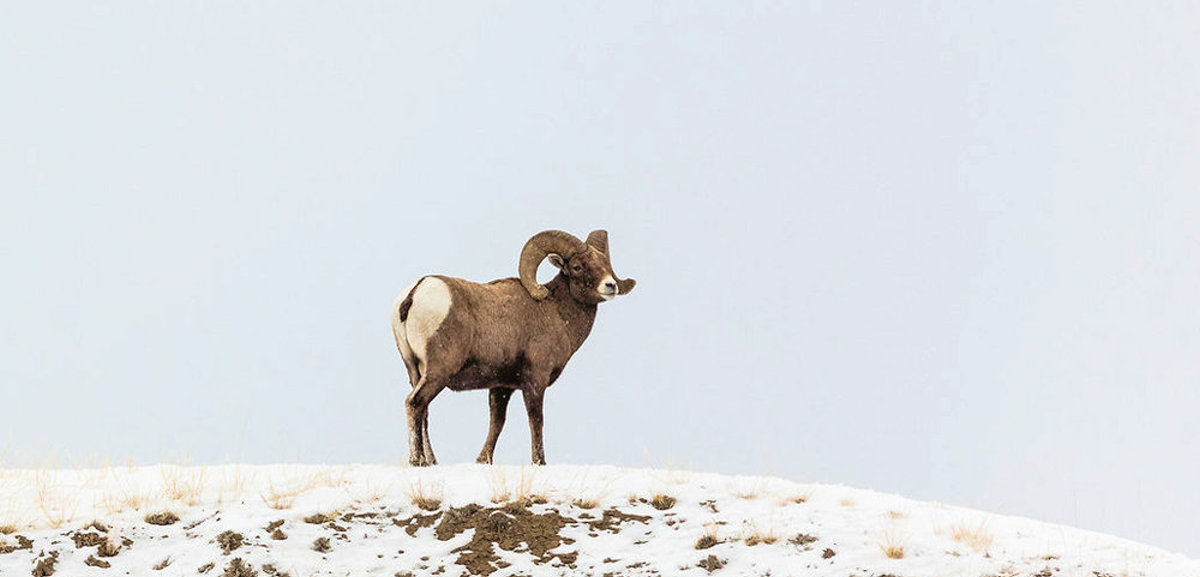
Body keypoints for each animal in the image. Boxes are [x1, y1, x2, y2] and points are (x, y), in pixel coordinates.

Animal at [391, 229, 636, 466]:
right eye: (577, 266)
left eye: (605, 264)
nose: (610, 286)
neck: (555, 311)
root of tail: (414, 294)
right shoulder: (535, 380)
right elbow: (536, 419)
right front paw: (539, 462)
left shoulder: (501, 386)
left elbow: (497, 422)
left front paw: (483, 460)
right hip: (438, 371)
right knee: (415, 403)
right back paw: (417, 461)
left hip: (415, 371)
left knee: (423, 412)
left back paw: (430, 461)